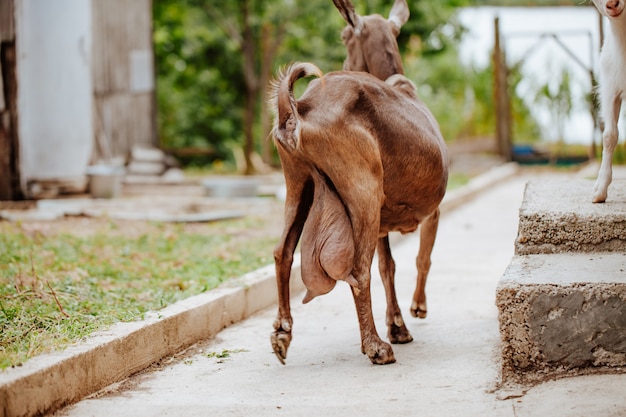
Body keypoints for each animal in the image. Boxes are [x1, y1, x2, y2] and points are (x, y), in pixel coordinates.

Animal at [268, 0, 448, 364]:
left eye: (344, 37)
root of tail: (298, 108)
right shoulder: (432, 211)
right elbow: (421, 258)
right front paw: (416, 310)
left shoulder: (384, 220)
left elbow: (388, 265)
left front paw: (399, 325)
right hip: (362, 189)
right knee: (358, 268)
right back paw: (375, 346)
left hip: (297, 182)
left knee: (283, 252)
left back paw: (282, 333)